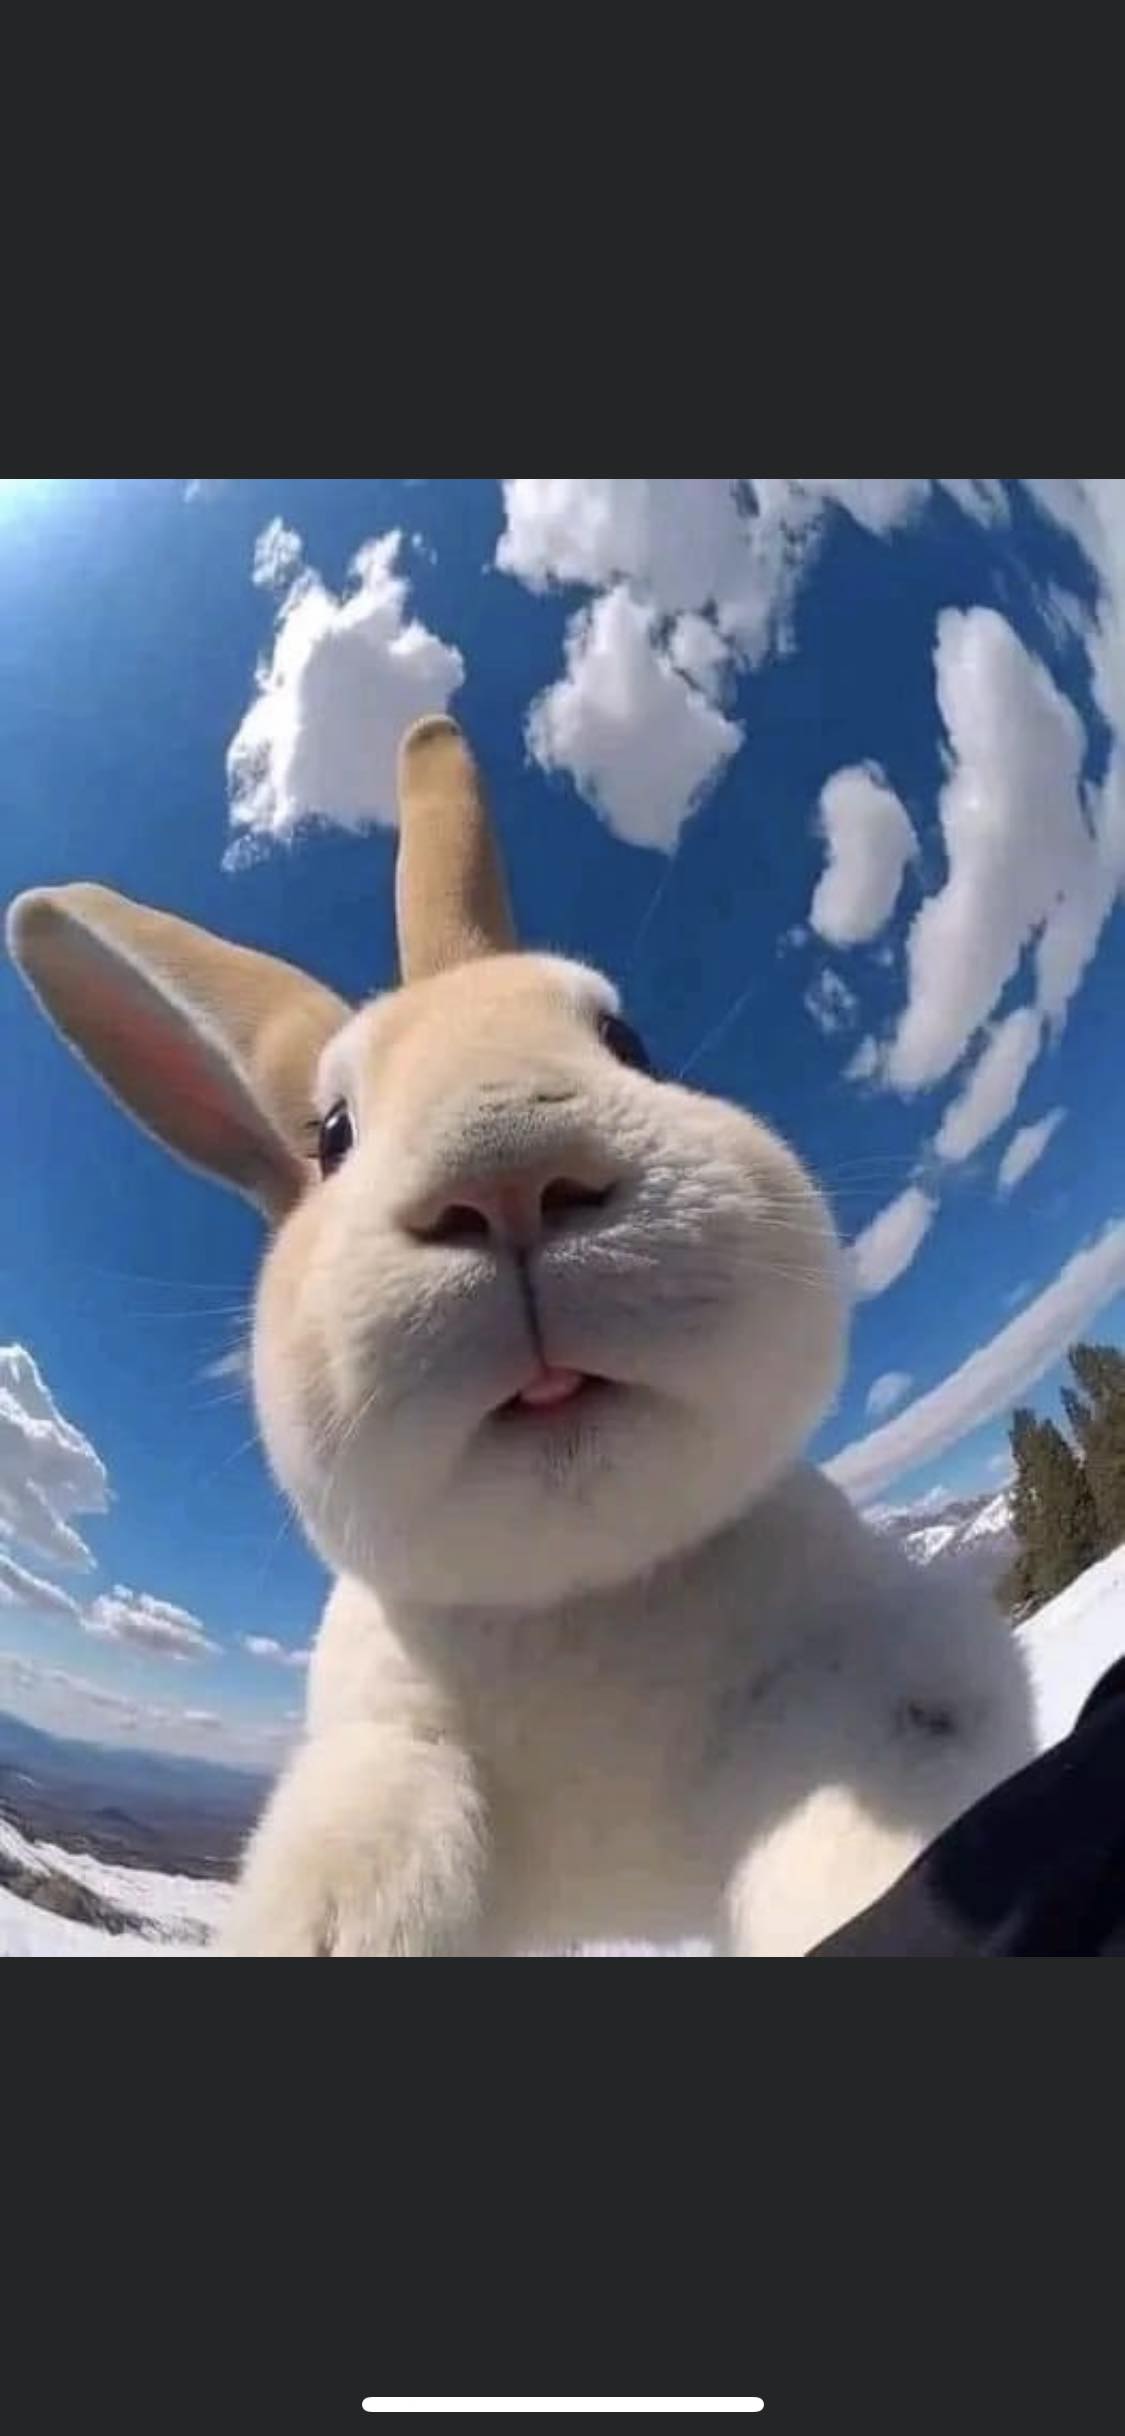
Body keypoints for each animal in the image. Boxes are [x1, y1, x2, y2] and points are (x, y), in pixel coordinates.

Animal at [5, 715, 1035, 1956]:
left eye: (629, 1039)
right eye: (334, 1136)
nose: (504, 1178)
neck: (575, 1589)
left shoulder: (861, 1681)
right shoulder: (392, 1760)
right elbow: (362, 1870)